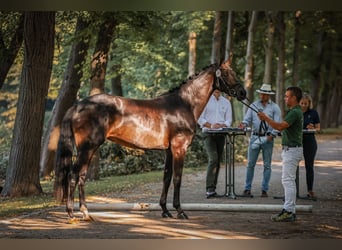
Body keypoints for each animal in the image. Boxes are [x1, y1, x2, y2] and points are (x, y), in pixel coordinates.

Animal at [53, 59, 246, 223]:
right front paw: (180, 211)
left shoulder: (169, 150)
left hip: (88, 149)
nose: (243, 93)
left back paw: (85, 213)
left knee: (81, 176)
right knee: (73, 175)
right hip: (87, 148)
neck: (184, 105)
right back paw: (73, 214)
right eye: (228, 73)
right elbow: (177, 178)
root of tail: (78, 105)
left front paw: (165, 211)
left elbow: (167, 177)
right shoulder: (179, 148)